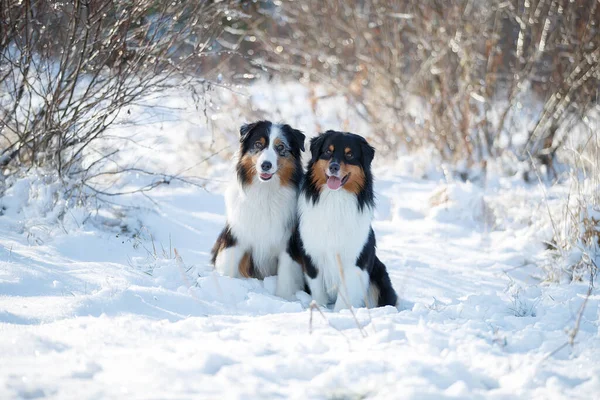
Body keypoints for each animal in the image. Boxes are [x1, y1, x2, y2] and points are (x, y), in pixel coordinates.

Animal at [210, 120, 304, 298]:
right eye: (258, 144)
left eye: (280, 147)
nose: (266, 165)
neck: (265, 192)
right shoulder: (236, 236)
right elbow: (228, 267)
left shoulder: (288, 244)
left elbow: (285, 281)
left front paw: (283, 299)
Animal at [288, 130, 396, 310]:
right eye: (328, 151)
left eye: (349, 154)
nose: (334, 167)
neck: (335, 199)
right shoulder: (312, 255)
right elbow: (318, 291)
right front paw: (320, 309)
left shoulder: (354, 261)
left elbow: (345, 296)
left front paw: (341, 313)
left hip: (379, 275)